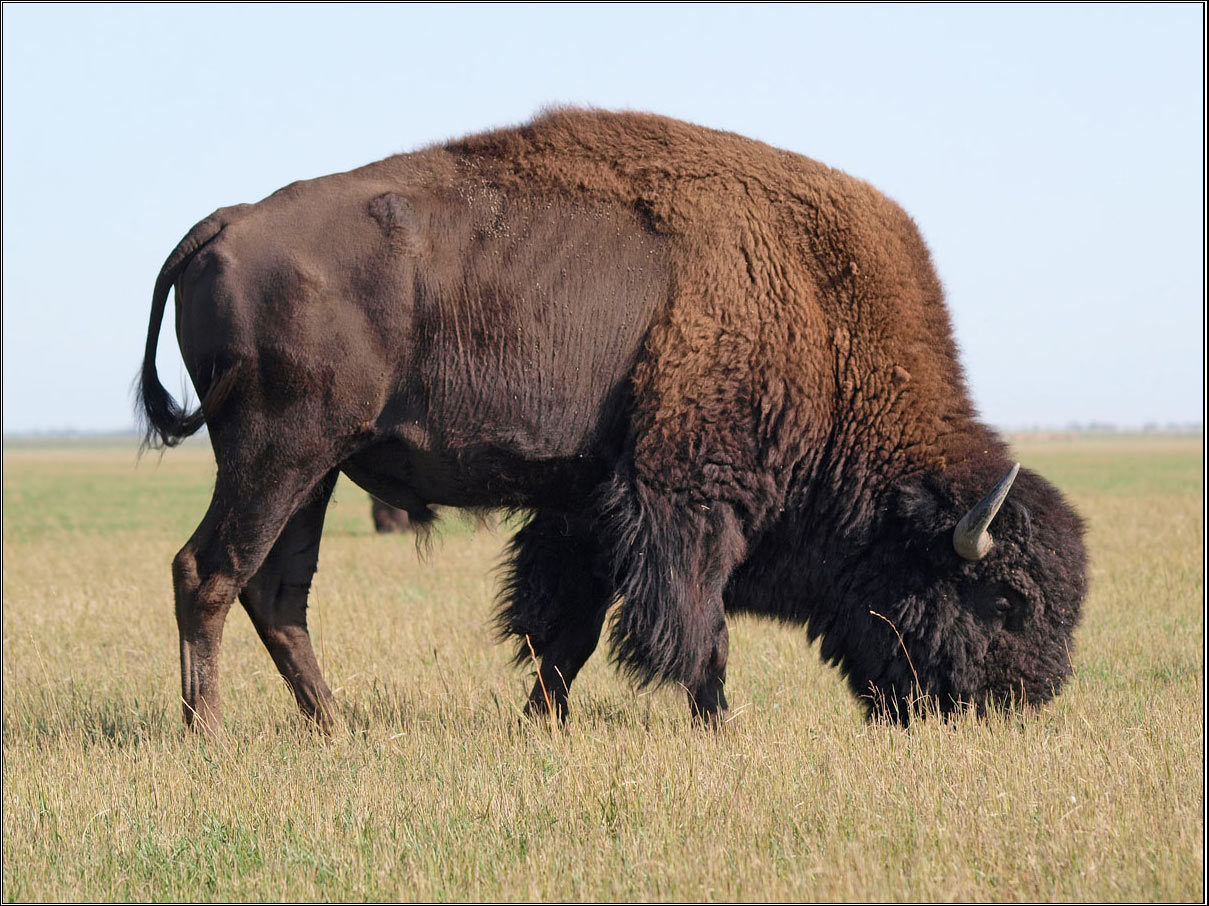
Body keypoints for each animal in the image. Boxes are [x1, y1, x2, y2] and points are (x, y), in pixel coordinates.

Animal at [139, 107, 1088, 725]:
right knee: (209, 572)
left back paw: (334, 728)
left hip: (316, 467)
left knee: (277, 590)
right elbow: (693, 625)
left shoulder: (588, 508)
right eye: (1005, 599)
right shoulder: (686, 505)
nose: (1019, 705)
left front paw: (539, 722)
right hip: (278, 450)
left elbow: (569, 627)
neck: (815, 305)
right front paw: (718, 724)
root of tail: (226, 223)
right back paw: (209, 734)